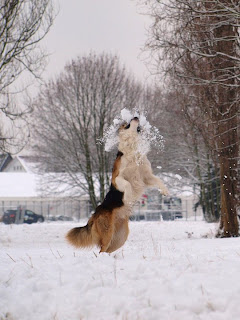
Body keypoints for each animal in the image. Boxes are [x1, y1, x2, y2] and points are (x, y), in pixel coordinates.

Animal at [66, 116, 169, 254]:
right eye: (127, 123)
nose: (136, 116)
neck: (132, 148)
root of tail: (94, 215)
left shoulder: (146, 176)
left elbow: (158, 180)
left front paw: (165, 191)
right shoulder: (117, 178)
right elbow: (127, 184)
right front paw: (129, 197)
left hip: (120, 238)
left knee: (106, 250)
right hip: (107, 234)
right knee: (101, 250)